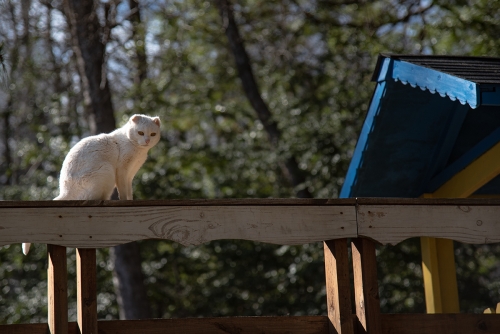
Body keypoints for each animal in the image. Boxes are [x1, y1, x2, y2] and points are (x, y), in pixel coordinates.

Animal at [22, 115, 160, 256]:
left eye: (152, 134)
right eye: (140, 133)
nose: (147, 140)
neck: (136, 148)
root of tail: (64, 192)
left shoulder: (130, 175)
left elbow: (129, 190)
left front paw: (131, 201)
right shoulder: (122, 171)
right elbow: (123, 191)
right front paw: (125, 202)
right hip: (107, 170)